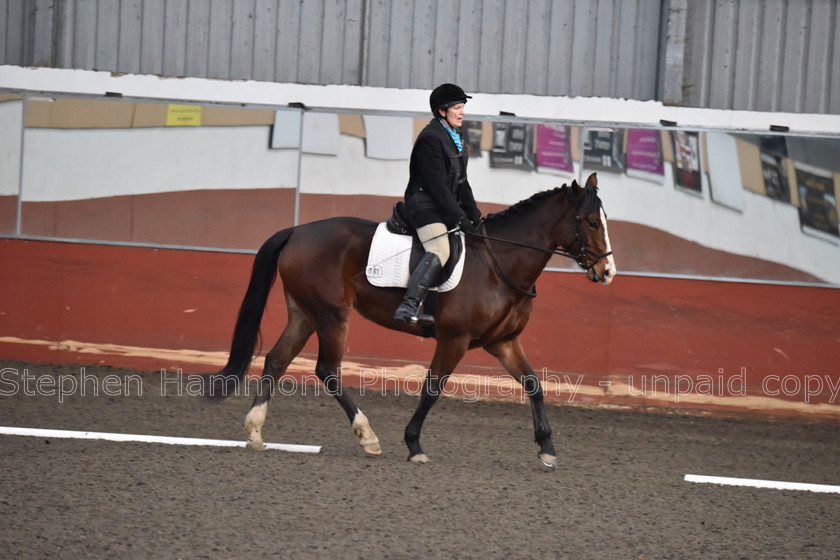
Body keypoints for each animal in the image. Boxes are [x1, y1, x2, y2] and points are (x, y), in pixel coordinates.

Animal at [203, 172, 612, 468]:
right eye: (591, 222)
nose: (608, 272)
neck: (499, 264)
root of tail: (296, 231)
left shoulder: (504, 342)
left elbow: (534, 385)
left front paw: (547, 447)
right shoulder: (454, 339)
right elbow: (432, 389)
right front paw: (414, 444)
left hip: (304, 313)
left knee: (277, 359)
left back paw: (255, 431)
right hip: (332, 315)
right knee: (327, 369)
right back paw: (367, 436)